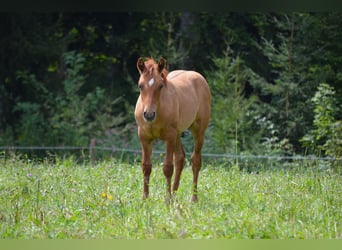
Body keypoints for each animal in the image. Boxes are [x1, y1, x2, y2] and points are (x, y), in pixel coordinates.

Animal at [134, 56, 211, 201]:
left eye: (160, 86)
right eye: (140, 85)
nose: (149, 114)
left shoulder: (169, 137)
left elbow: (168, 168)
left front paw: (167, 200)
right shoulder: (144, 137)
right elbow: (146, 167)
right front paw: (145, 198)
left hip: (198, 131)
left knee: (196, 161)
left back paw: (193, 198)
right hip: (177, 134)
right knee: (180, 158)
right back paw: (175, 194)